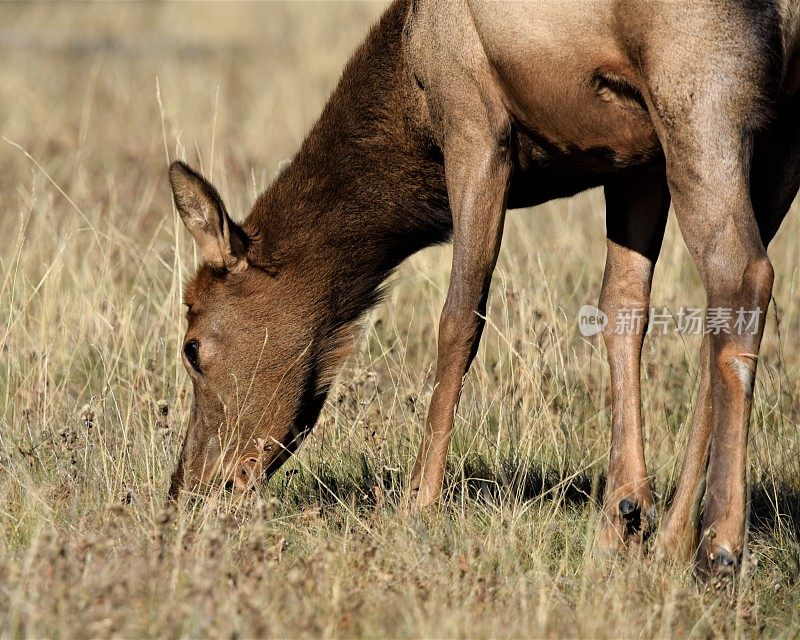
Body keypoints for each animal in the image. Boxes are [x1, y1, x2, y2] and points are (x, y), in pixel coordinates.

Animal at [167, 0, 800, 580]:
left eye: (192, 346)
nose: (186, 487)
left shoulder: (472, 117)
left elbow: (459, 320)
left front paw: (417, 504)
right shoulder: (634, 159)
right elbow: (622, 309)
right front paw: (622, 516)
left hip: (699, 95)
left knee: (743, 275)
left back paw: (719, 546)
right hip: (773, 139)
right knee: (724, 304)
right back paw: (674, 538)